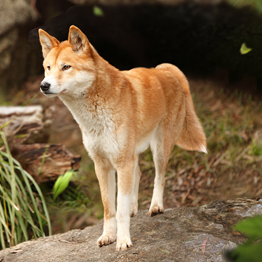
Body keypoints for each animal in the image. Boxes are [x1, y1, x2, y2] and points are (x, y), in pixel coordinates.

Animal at [38, 25, 207, 251]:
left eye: (66, 67)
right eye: (48, 67)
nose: (44, 85)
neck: (95, 115)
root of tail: (165, 70)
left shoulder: (121, 162)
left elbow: (120, 210)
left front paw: (123, 240)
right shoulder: (102, 165)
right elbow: (109, 208)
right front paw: (108, 236)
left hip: (159, 149)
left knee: (159, 177)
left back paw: (156, 206)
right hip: (133, 154)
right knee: (139, 174)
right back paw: (134, 208)